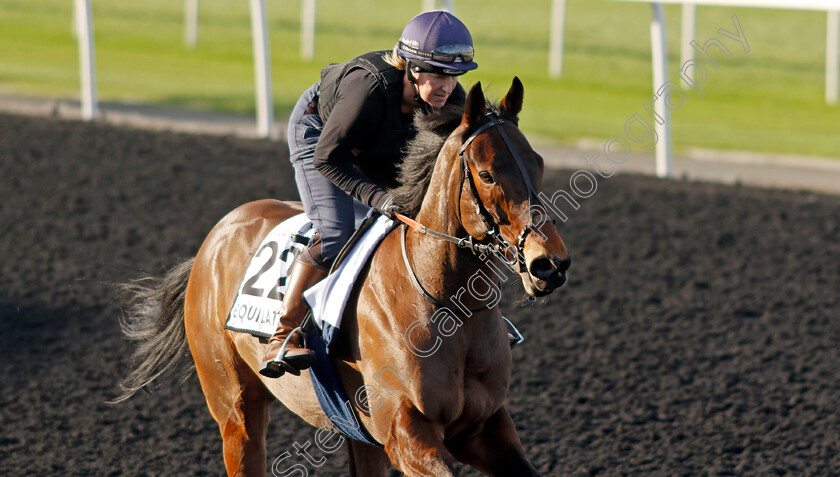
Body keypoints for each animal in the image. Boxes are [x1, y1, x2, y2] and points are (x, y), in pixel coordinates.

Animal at [115, 77, 568, 472]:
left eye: (539, 164)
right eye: (487, 174)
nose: (550, 264)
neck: (445, 303)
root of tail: (214, 238)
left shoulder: (484, 428)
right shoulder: (407, 432)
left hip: (356, 433)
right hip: (234, 408)